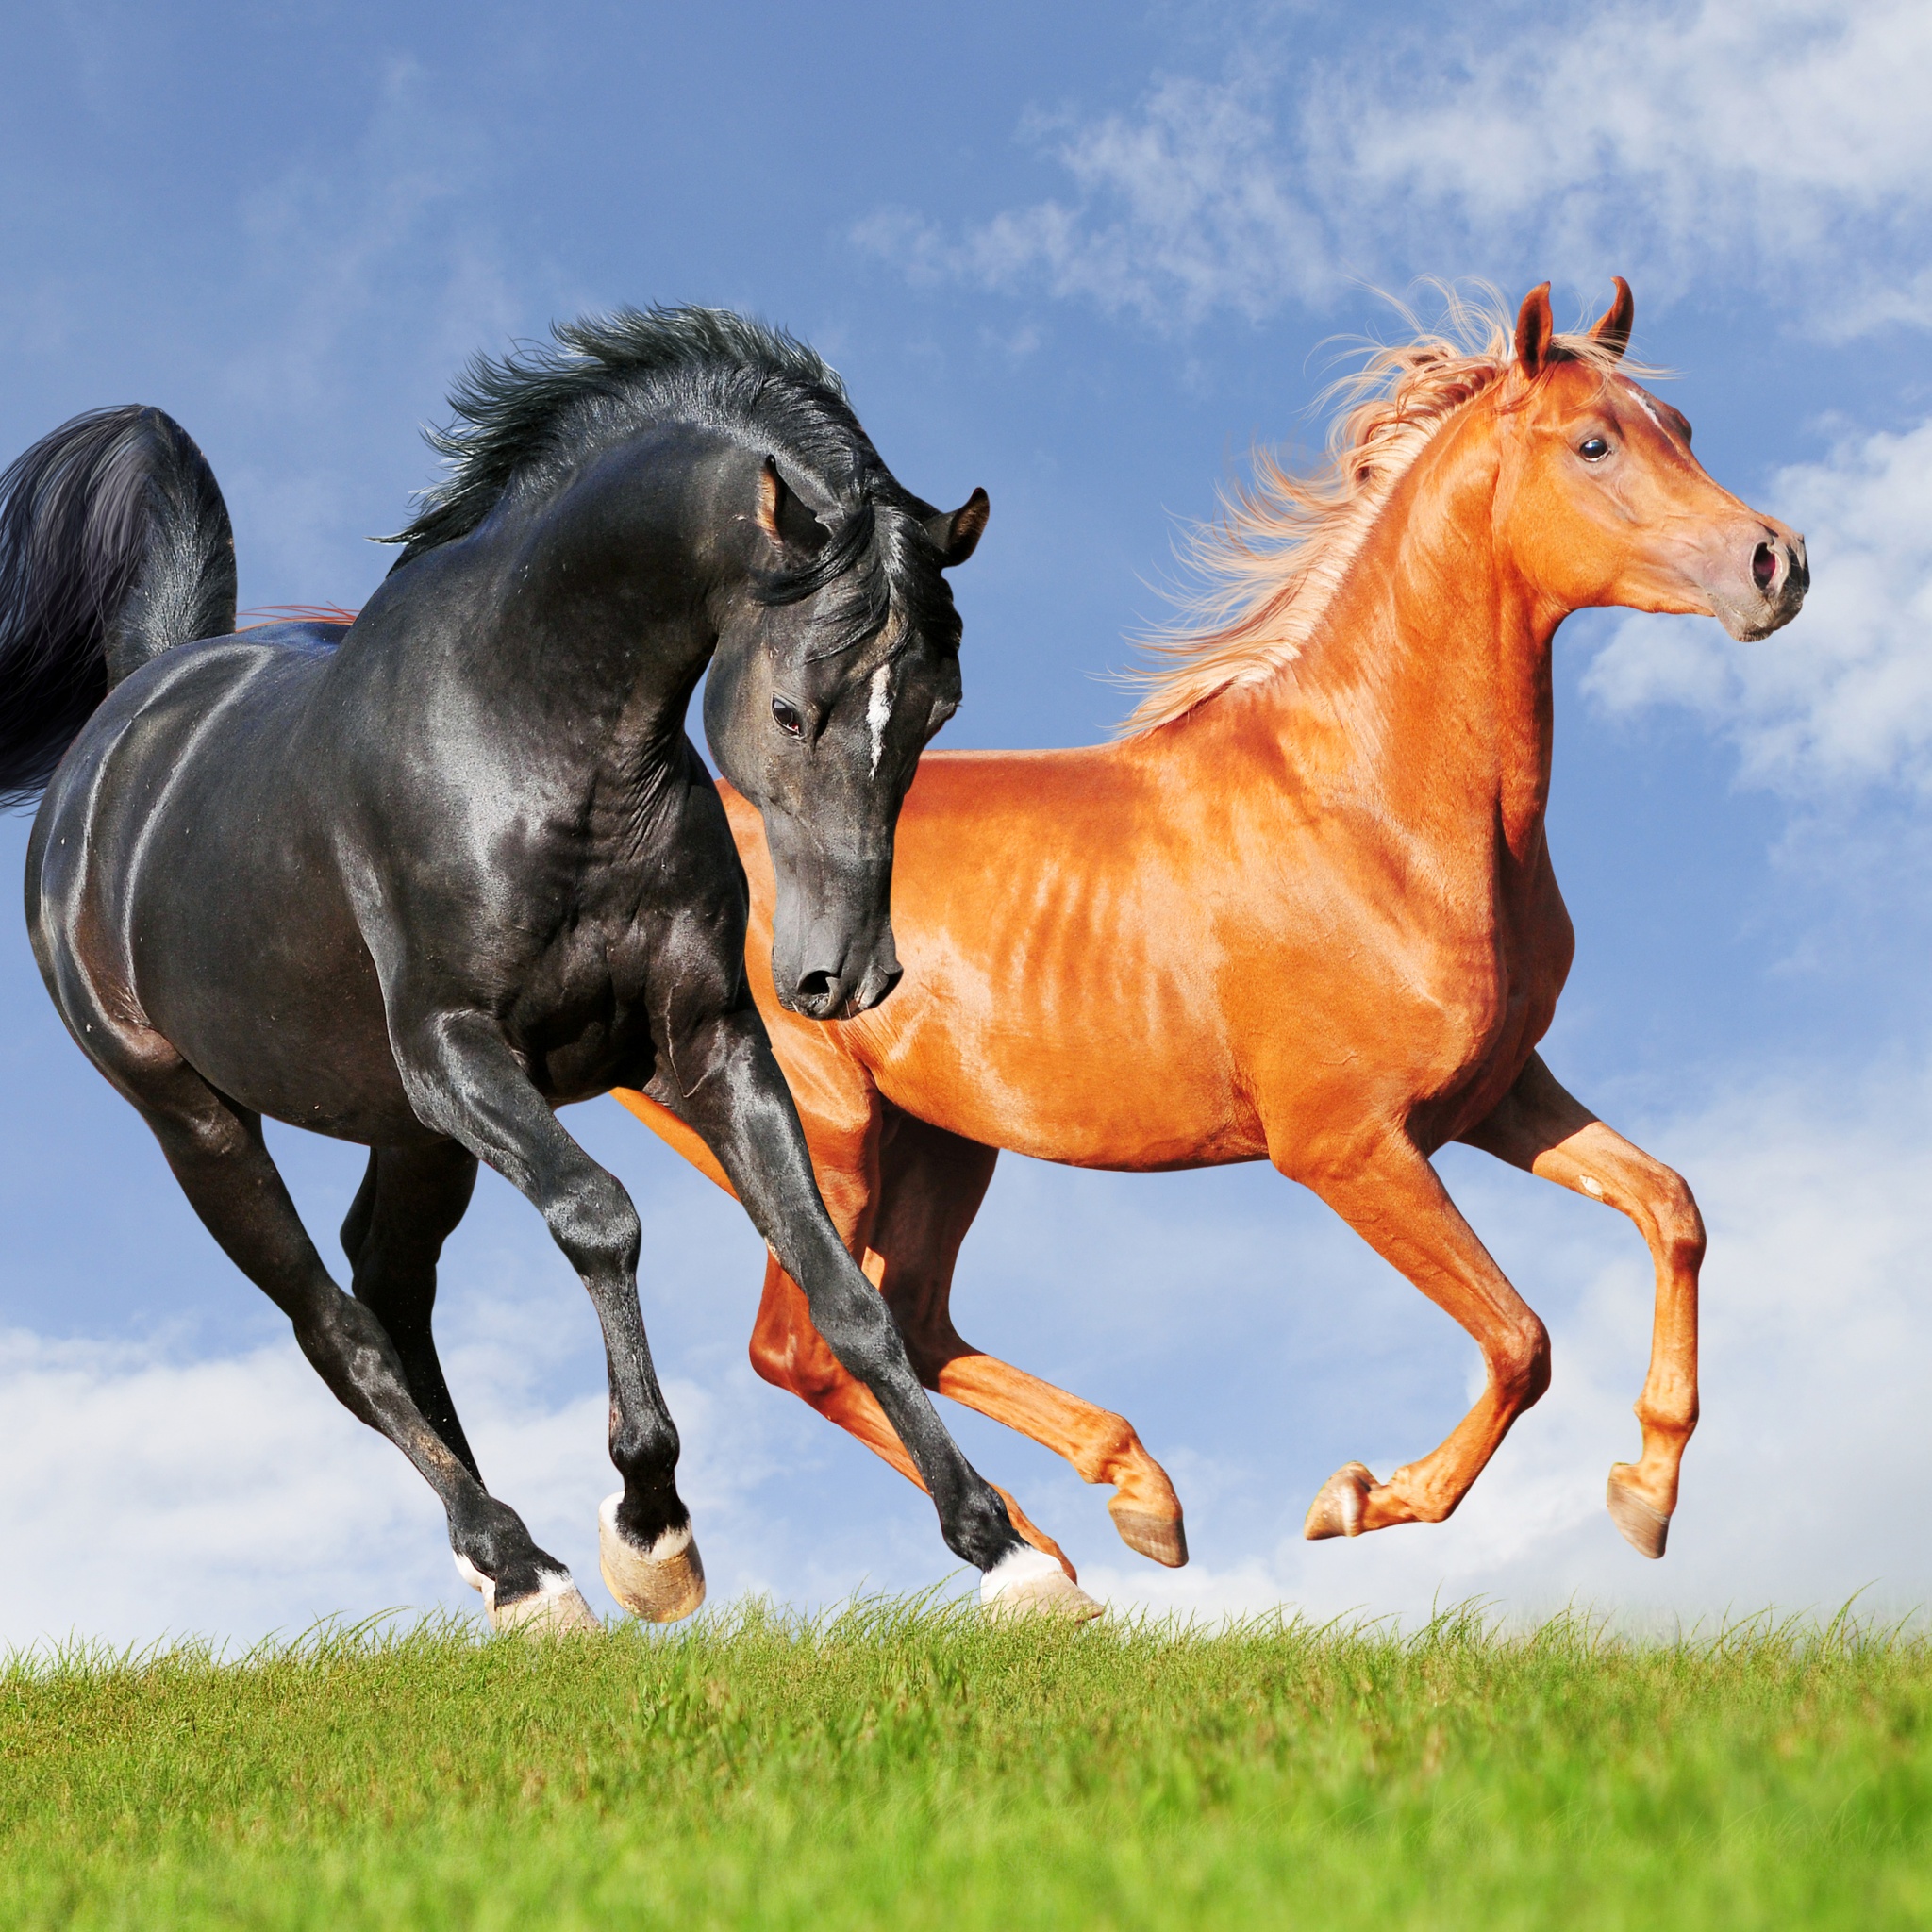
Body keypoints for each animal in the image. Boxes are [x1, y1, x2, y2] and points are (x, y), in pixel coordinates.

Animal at [0, 312, 1090, 1630]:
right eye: (789, 708)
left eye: (938, 708)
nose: (844, 977)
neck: (533, 739)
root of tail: (129, 719)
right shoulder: (459, 1050)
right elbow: (601, 1218)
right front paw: (651, 1531)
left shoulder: (707, 1042)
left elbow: (844, 1286)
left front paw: (1006, 1548)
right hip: (198, 1121)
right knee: (336, 1327)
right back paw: (520, 1563)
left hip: (404, 1126)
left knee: (387, 1285)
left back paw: (504, 1563)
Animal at [618, 290, 1807, 1584]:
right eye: (1592, 443)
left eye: (1677, 426)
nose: (1775, 562)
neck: (1371, 809)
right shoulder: (1345, 1147)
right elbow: (1518, 1338)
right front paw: (1359, 1496)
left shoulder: (1494, 1093)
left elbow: (1669, 1206)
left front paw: (1645, 1488)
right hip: (821, 1135)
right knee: (812, 1346)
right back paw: (1037, 1554)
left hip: (940, 1141)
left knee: (914, 1320)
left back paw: (1126, 1499)